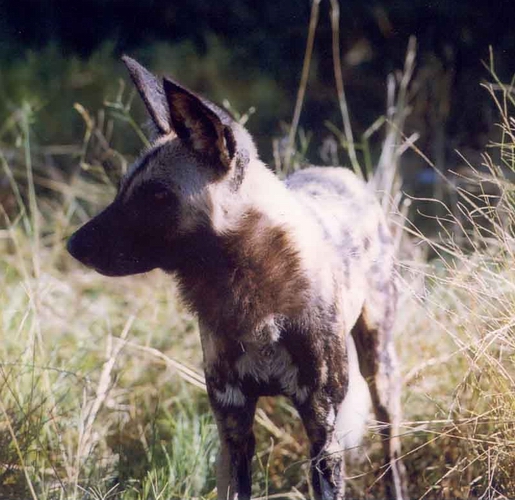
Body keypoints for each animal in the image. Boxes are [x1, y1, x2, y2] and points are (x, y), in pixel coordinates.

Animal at [67, 56, 408, 500]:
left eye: (157, 196)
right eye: (123, 189)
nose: (73, 244)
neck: (250, 291)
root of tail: (340, 174)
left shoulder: (322, 427)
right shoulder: (233, 426)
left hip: (380, 369)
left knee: (391, 449)